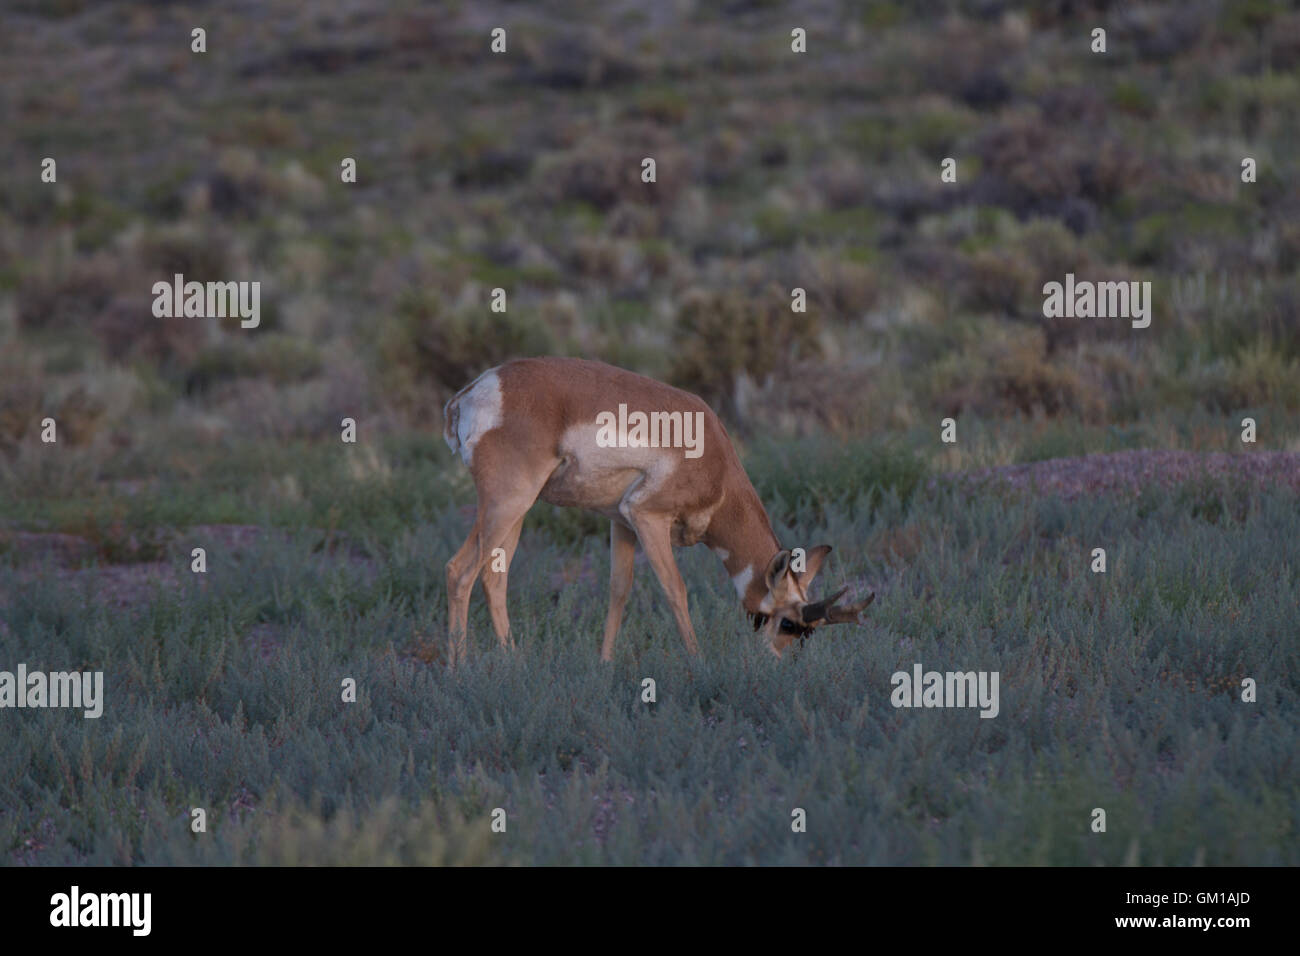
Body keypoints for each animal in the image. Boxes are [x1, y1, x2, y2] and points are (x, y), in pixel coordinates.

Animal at [439, 358, 873, 665]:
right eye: (788, 622)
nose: (777, 663)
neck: (714, 457)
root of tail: (479, 389)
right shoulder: (648, 519)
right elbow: (675, 589)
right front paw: (698, 662)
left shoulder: (621, 524)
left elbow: (619, 589)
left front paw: (605, 664)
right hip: (506, 504)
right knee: (460, 570)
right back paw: (458, 669)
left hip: (518, 511)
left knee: (494, 577)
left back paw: (514, 661)